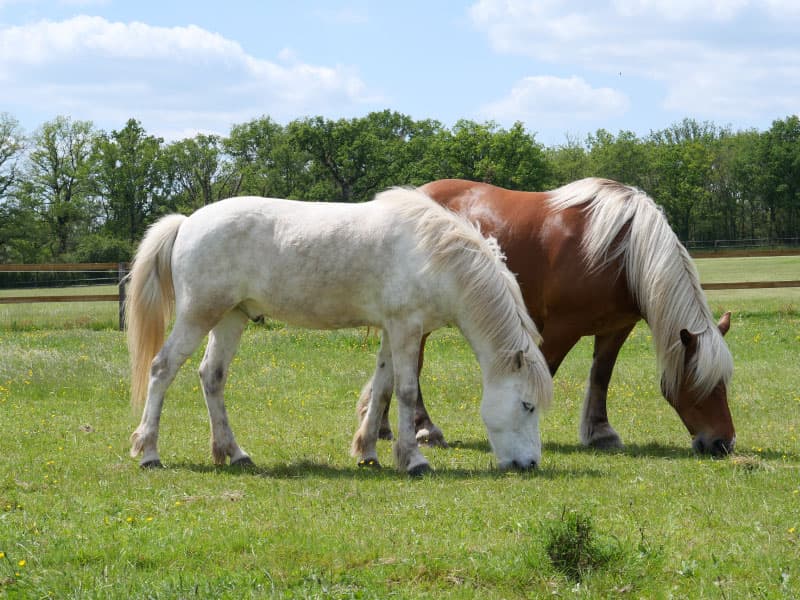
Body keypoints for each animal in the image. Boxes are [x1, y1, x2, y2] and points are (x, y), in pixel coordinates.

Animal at [126, 187, 552, 475]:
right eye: (527, 405)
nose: (530, 463)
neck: (436, 258)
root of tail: (187, 222)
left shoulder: (391, 331)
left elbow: (382, 389)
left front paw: (369, 452)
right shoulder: (406, 329)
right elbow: (406, 391)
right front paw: (414, 460)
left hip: (232, 317)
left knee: (211, 377)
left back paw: (235, 453)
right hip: (199, 315)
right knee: (162, 369)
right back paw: (149, 453)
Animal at [357, 178, 735, 456]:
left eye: (724, 383)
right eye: (699, 382)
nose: (723, 443)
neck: (622, 251)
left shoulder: (616, 328)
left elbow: (601, 377)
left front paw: (601, 433)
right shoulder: (560, 328)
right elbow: (543, 373)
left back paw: (383, 426)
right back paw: (424, 428)